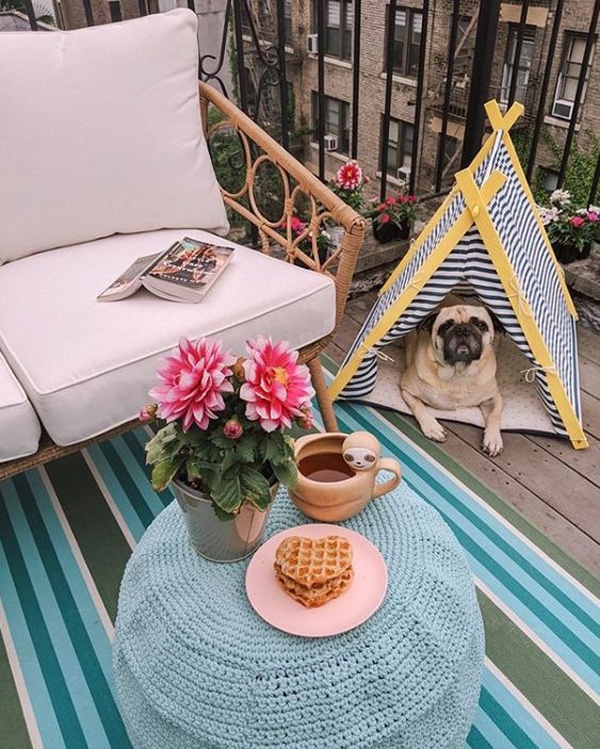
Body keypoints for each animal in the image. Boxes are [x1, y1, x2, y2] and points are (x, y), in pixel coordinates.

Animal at [400, 298, 504, 456]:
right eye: (446, 327)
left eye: (480, 325)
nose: (462, 329)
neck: (459, 372)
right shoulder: (407, 389)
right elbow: (418, 406)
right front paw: (432, 427)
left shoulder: (494, 398)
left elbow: (494, 415)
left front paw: (493, 439)